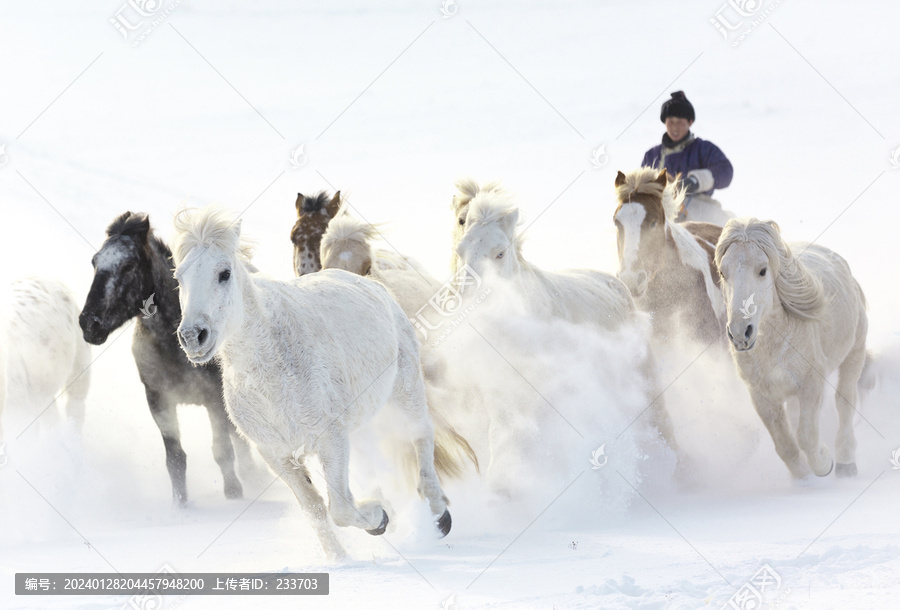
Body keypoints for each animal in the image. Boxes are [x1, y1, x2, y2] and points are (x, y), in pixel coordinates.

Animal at [81, 211, 256, 502]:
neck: (173, 347)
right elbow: (175, 459)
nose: (88, 323)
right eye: (95, 262)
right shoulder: (159, 401)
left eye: (129, 265)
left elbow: (223, 451)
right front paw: (180, 504)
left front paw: (234, 494)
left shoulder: (214, 401)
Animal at [174, 207, 458, 560]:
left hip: (406, 393)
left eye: (223, 273)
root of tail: (370, 284)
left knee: (421, 439)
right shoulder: (276, 455)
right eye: (179, 277)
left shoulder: (330, 438)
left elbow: (340, 508)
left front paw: (378, 518)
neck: (270, 369)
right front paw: (341, 558)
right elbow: (315, 509)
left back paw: (439, 517)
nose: (192, 336)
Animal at [712, 218, 868, 480]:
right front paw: (802, 479)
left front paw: (824, 463)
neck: (773, 348)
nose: (741, 333)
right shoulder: (761, 397)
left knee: (845, 403)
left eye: (762, 270)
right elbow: (785, 445)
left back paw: (846, 463)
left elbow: (805, 436)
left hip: (854, 355)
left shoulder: (811, 384)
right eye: (724, 272)